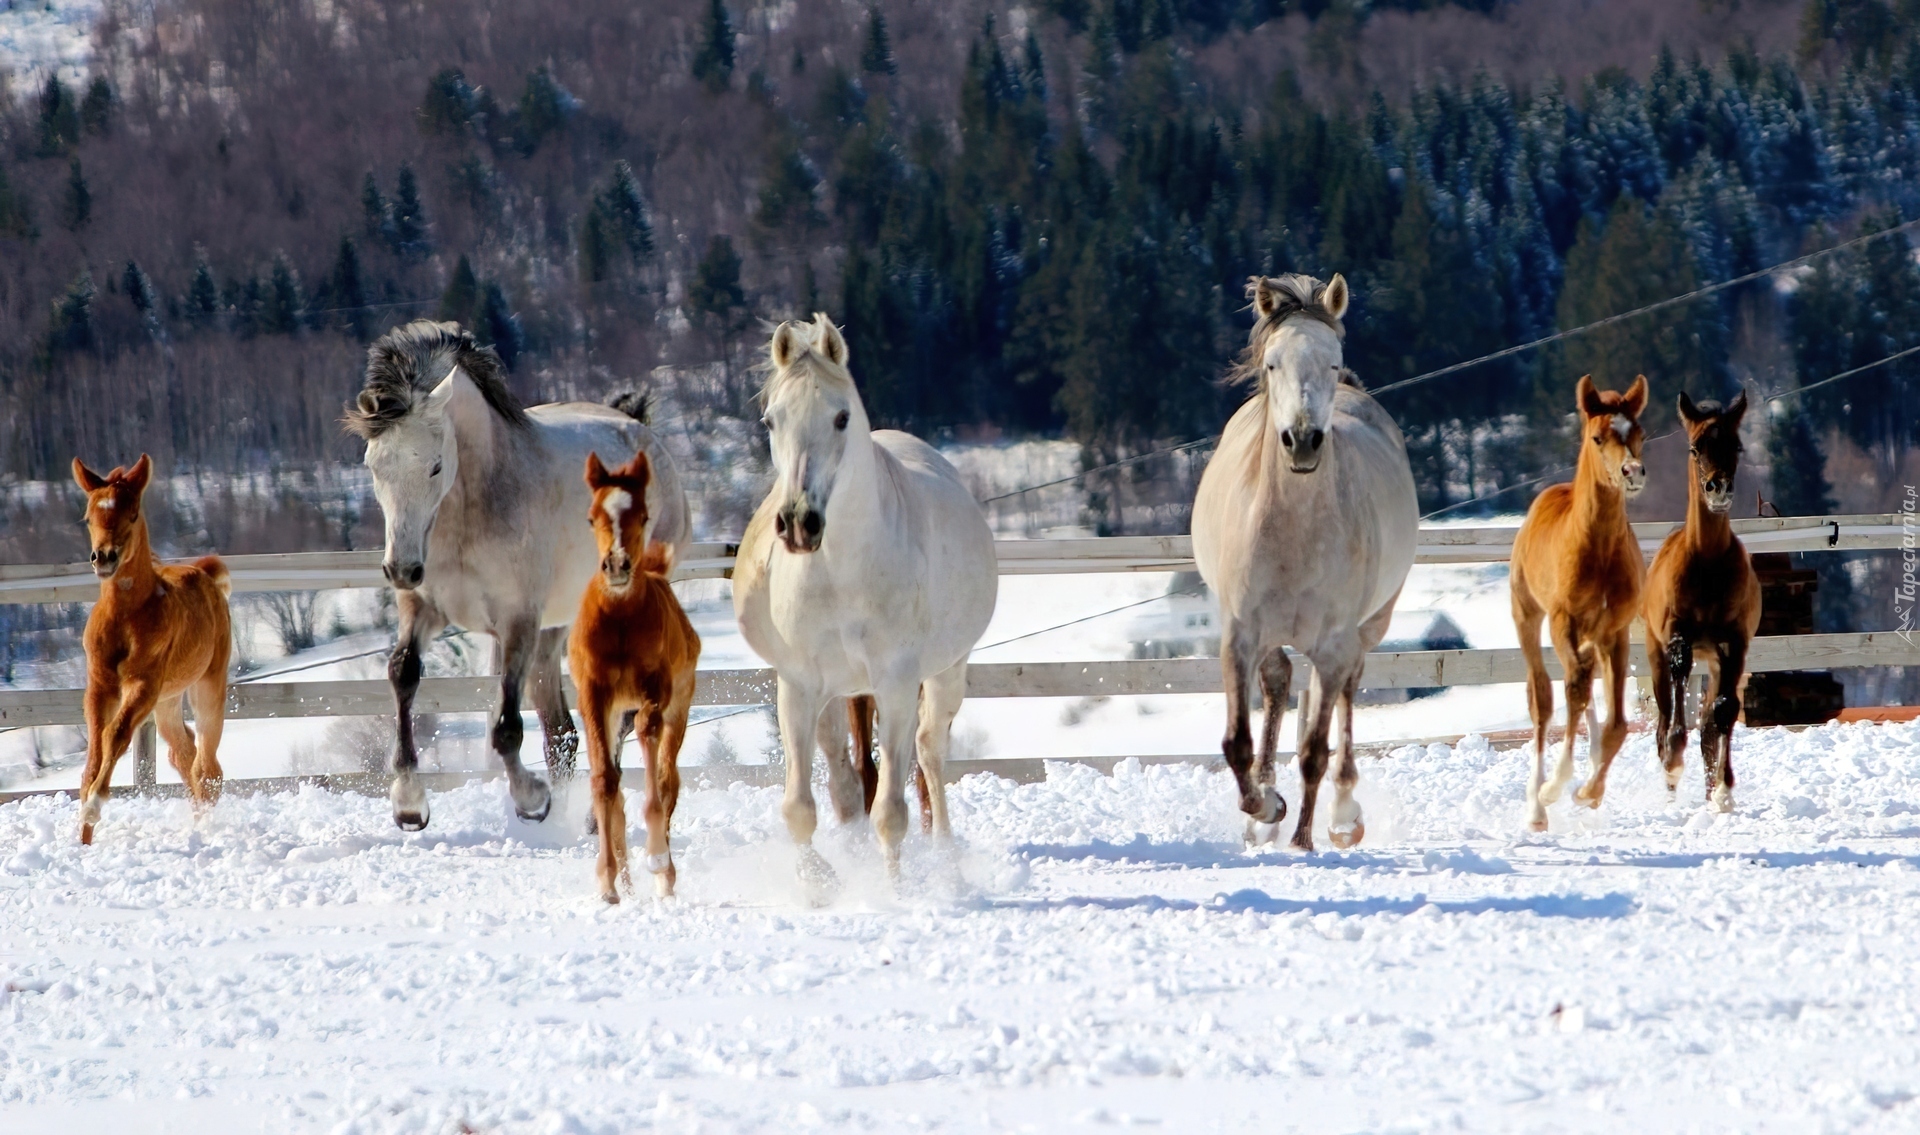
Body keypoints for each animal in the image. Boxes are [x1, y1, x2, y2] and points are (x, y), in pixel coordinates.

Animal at [71, 455, 232, 845]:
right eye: (88, 517)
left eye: (131, 514)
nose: (104, 558)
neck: (125, 618)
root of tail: (205, 573)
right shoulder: (99, 686)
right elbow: (95, 750)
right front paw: (82, 839)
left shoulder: (142, 685)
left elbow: (115, 735)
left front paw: (94, 806)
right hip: (167, 702)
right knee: (183, 752)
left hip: (206, 686)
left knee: (207, 765)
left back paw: (205, 829)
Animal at [564, 449, 702, 902]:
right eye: (592, 517)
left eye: (642, 515)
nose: (617, 565)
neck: (620, 620)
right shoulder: (593, 696)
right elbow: (605, 781)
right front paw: (607, 880)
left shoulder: (655, 691)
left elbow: (649, 752)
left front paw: (657, 859)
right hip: (612, 713)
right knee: (619, 788)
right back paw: (625, 877)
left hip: (680, 707)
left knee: (667, 779)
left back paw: (664, 874)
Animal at [729, 313, 998, 898]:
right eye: (771, 419)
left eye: (840, 417)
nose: (799, 523)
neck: (841, 572)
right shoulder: (798, 685)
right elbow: (800, 807)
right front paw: (819, 883)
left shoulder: (896, 683)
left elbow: (892, 812)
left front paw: (894, 890)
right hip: (836, 692)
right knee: (843, 776)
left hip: (946, 672)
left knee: (929, 753)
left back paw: (946, 860)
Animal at [1512, 378, 1651, 829]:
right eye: (1597, 437)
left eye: (1639, 433)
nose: (1632, 473)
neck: (1597, 548)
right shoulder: (1563, 622)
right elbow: (1571, 691)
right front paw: (1554, 788)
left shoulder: (1616, 631)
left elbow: (1618, 724)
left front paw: (1589, 791)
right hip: (1527, 615)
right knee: (1543, 698)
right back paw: (1536, 807)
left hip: (1594, 636)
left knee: (1589, 682)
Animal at [1643, 395, 1758, 814]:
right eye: (1695, 448)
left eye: (1736, 446)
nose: (1718, 488)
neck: (1706, 562)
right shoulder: (1677, 638)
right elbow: (1676, 724)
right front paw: (1674, 766)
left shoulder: (1734, 642)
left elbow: (1722, 714)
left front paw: (1722, 791)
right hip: (1655, 653)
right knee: (1663, 721)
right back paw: (1670, 785)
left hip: (1714, 658)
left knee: (1712, 718)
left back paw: (1714, 789)